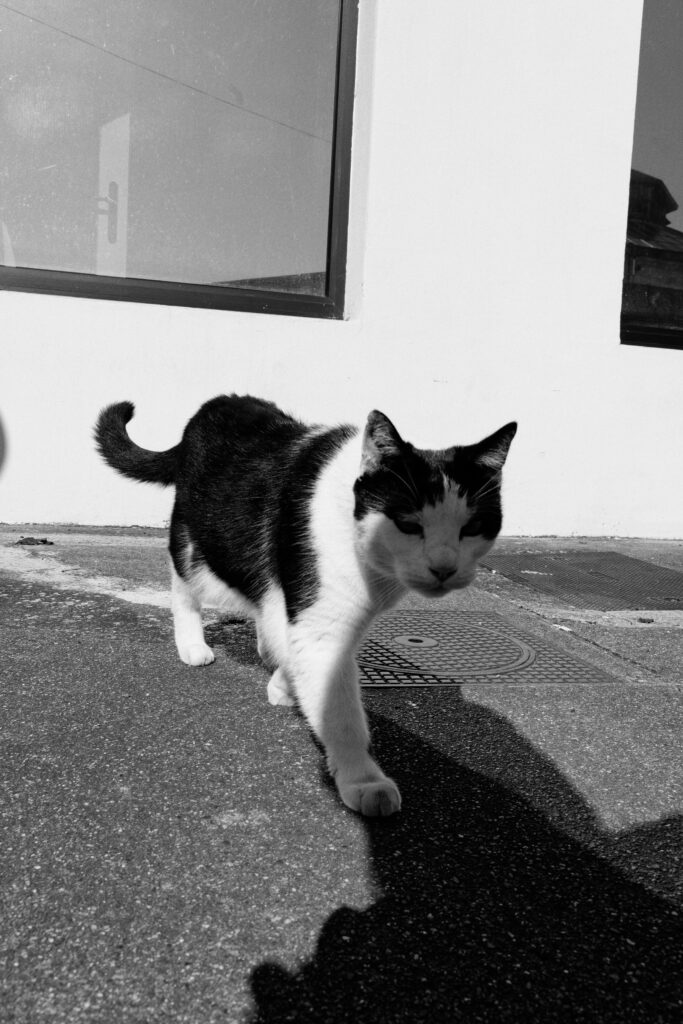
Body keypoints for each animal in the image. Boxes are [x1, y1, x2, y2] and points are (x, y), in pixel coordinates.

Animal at [93, 395, 516, 819]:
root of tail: (216, 404)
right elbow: (341, 711)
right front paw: (363, 779)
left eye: (473, 527)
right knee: (184, 586)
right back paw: (192, 644)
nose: (444, 568)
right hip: (200, 542)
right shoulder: (321, 621)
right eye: (409, 524)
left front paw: (284, 682)